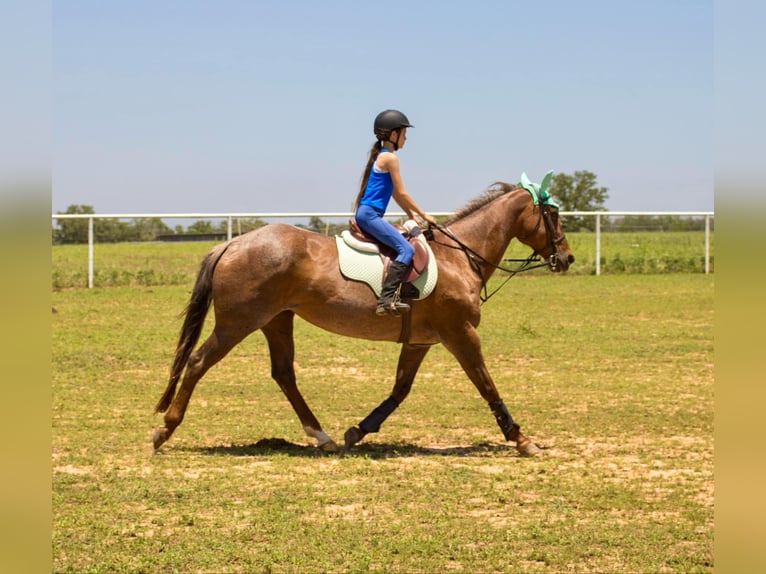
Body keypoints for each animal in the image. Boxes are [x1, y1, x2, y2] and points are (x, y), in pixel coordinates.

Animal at [154, 182, 576, 456]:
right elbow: (487, 385)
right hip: (237, 322)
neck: (460, 256)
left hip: (277, 320)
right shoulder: (461, 333)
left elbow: (400, 390)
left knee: (284, 373)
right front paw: (522, 440)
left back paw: (323, 437)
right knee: (198, 362)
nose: (567, 258)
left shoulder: (420, 340)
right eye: (552, 214)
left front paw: (358, 431)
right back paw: (164, 430)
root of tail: (232, 244)